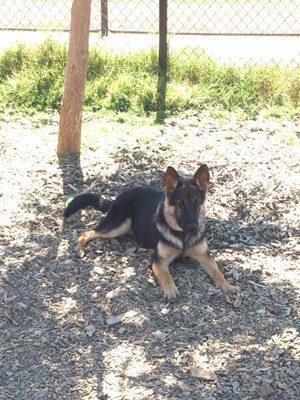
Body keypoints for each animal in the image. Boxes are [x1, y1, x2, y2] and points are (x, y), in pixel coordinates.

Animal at [65, 164, 239, 298]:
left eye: (197, 203)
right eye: (180, 204)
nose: (192, 227)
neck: (182, 236)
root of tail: (118, 197)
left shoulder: (204, 256)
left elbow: (217, 271)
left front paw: (226, 285)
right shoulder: (158, 261)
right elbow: (166, 276)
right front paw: (170, 290)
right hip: (120, 224)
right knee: (89, 232)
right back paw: (80, 247)